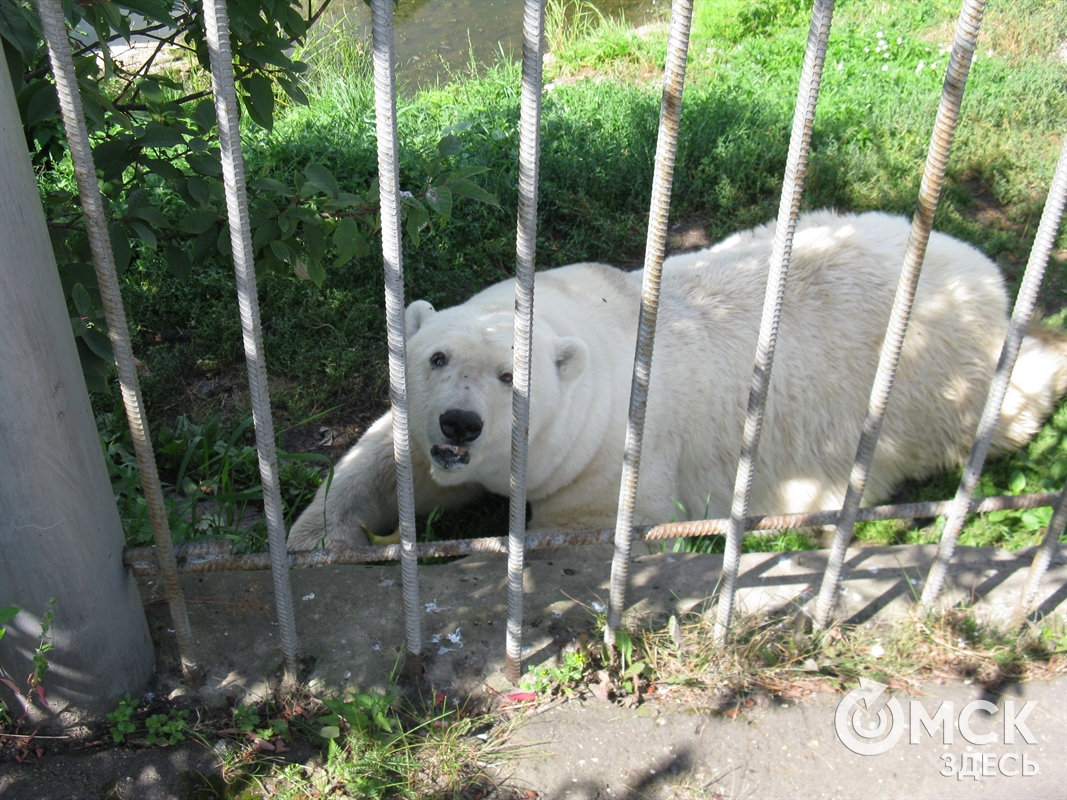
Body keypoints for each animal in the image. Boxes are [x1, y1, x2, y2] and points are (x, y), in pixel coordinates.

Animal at [283, 210, 1067, 554]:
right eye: (438, 358)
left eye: (513, 376)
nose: (461, 423)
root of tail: (977, 270)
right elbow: (390, 457)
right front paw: (324, 535)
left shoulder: (605, 455)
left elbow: (585, 523)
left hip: (938, 381)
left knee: (1009, 400)